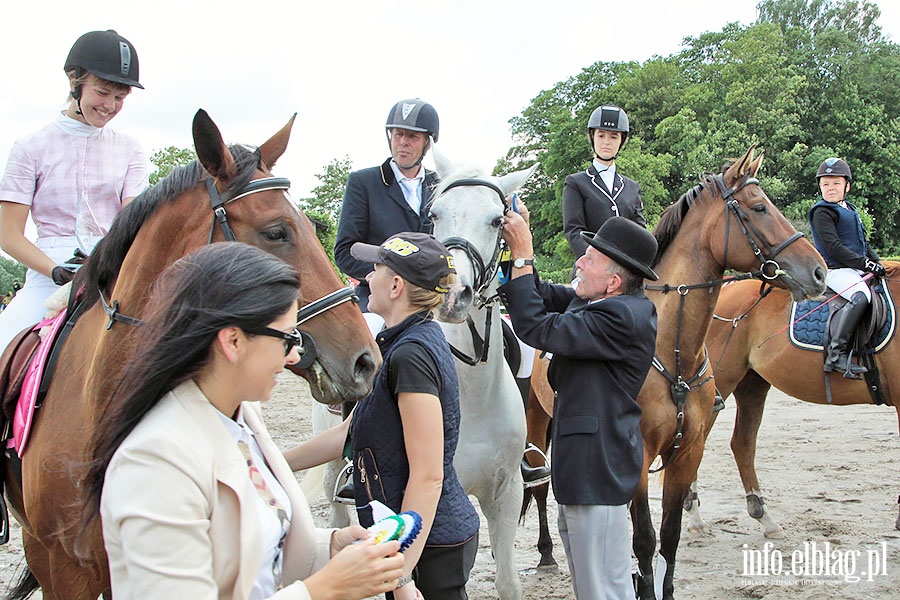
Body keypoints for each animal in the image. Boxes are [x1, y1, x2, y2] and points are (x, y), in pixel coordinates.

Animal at [628, 146, 828, 600]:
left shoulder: (687, 453)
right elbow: (645, 540)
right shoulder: (637, 458)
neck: (671, 351)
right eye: (759, 207)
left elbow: (669, 537)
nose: (819, 272)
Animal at [684, 272, 900, 540]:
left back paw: (764, 517)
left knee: (743, 443)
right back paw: (695, 516)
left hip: (752, 385)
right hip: (720, 384)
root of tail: (726, 289)